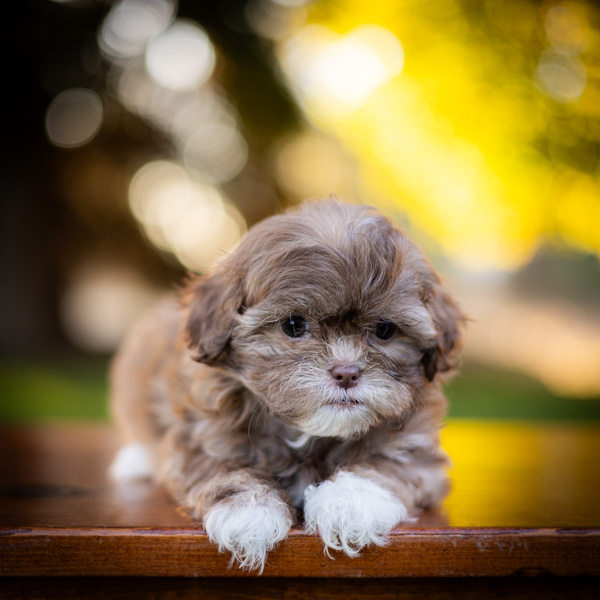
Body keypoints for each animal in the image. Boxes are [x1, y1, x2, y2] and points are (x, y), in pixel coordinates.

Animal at [109, 198, 464, 572]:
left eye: (385, 329)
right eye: (294, 325)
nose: (347, 372)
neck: (308, 433)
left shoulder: (416, 446)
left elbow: (388, 465)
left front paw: (348, 502)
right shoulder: (202, 434)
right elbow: (226, 467)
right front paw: (248, 511)